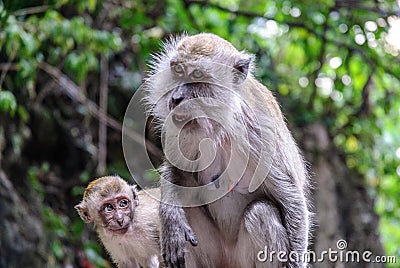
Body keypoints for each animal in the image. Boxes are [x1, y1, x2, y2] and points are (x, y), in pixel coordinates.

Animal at [146, 33, 310, 268]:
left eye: (197, 74)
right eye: (177, 70)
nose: (176, 98)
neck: (219, 125)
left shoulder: (255, 133)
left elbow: (292, 199)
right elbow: (176, 170)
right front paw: (171, 219)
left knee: (261, 212)